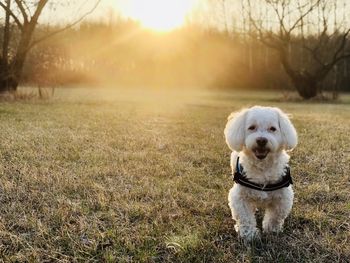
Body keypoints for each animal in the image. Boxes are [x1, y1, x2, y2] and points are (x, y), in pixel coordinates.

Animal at [224, 106, 298, 242]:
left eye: (273, 129)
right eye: (252, 127)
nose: (261, 140)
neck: (262, 167)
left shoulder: (283, 197)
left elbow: (275, 216)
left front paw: (272, 230)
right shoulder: (239, 197)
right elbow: (245, 217)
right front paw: (249, 235)